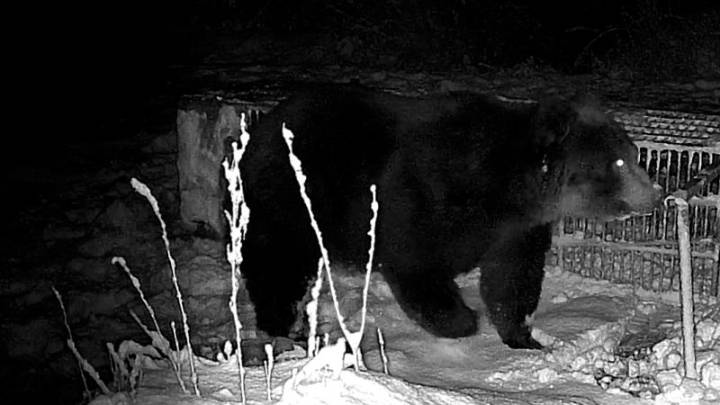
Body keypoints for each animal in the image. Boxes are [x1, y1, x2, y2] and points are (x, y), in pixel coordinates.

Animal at [238, 85, 660, 350]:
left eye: (633, 153)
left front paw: (524, 338)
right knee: (278, 262)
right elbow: (416, 261)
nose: (656, 194)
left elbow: (512, 279)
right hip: (293, 196)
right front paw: (465, 321)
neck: (508, 187)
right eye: (619, 162)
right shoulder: (428, 190)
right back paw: (280, 328)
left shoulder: (515, 228)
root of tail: (261, 125)